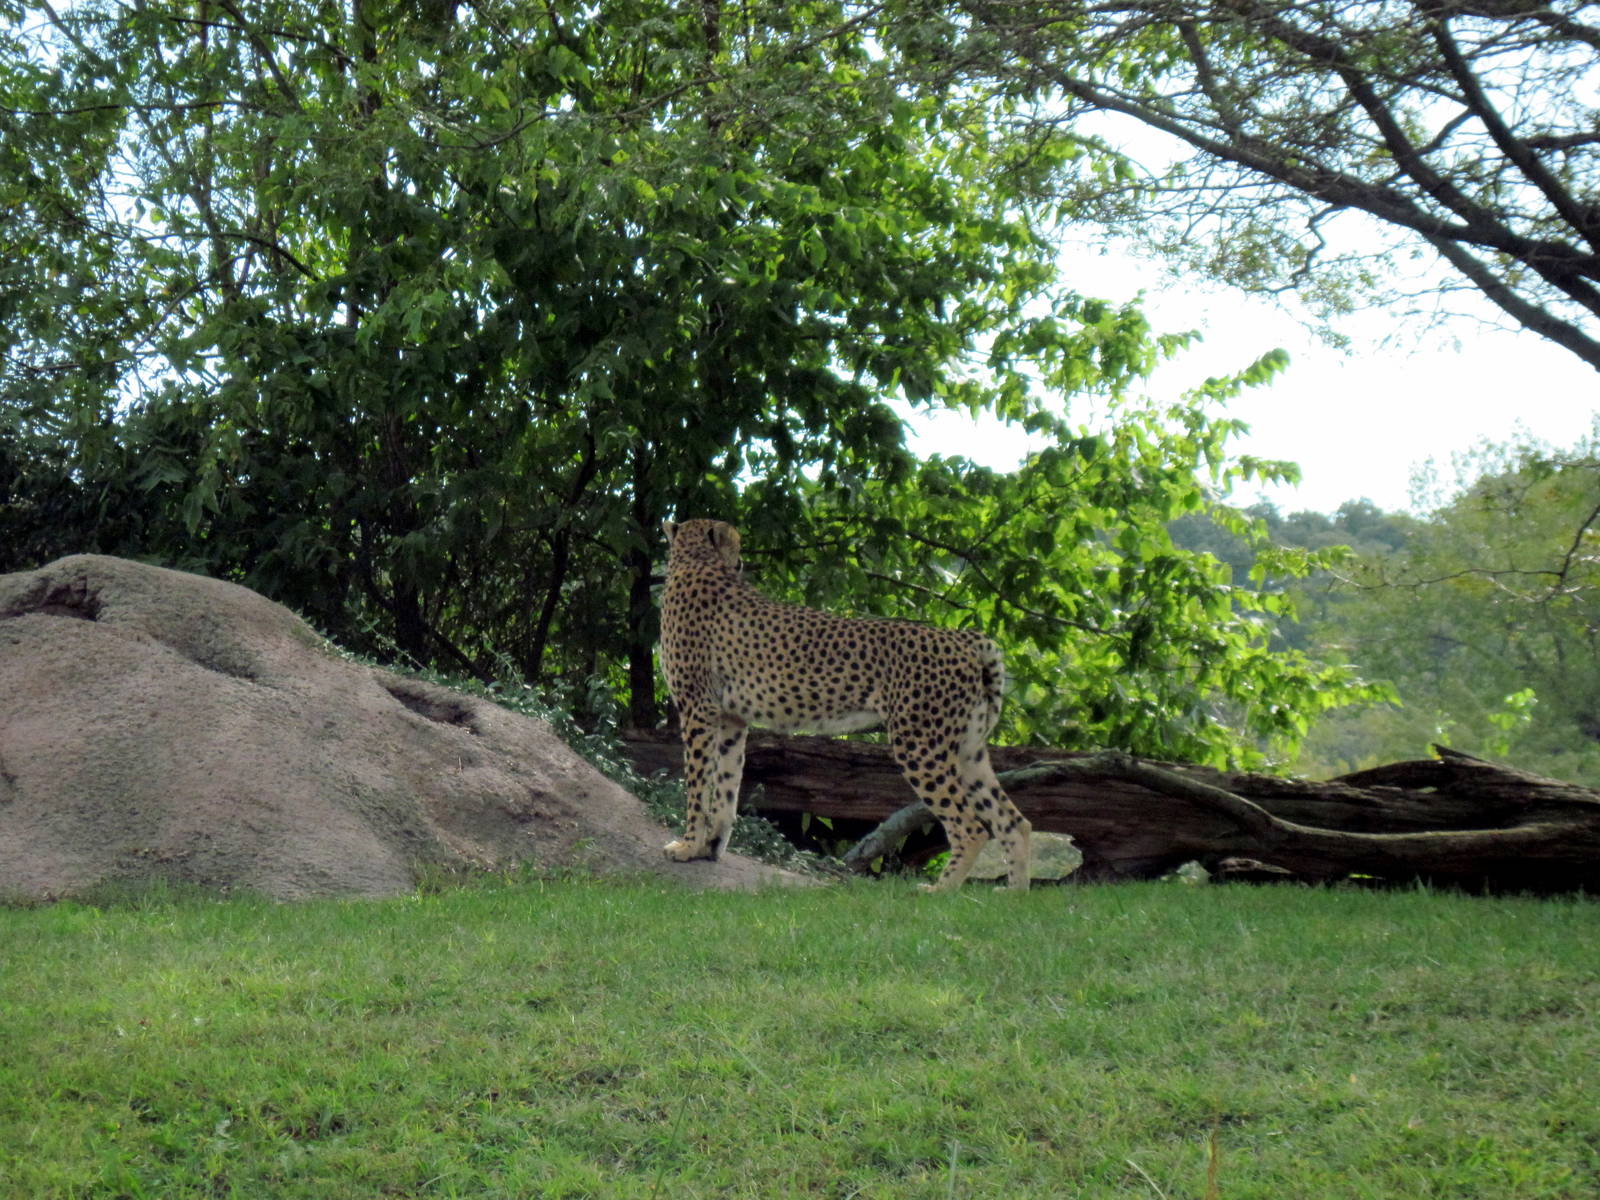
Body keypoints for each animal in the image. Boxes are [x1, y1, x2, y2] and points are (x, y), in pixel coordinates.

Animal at [657, 517, 1031, 890]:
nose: (741, 562)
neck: (696, 560)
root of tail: (965, 638)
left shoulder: (698, 709)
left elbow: (697, 783)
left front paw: (688, 846)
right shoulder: (731, 718)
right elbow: (726, 783)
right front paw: (710, 846)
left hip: (920, 745)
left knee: (971, 827)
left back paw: (940, 891)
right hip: (967, 748)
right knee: (1013, 821)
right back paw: (1014, 895)